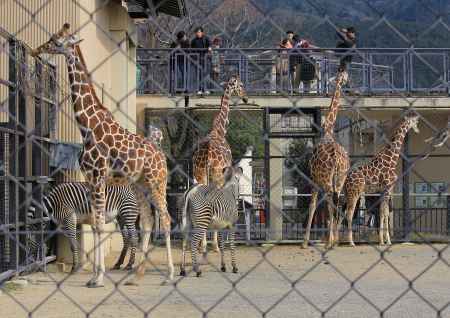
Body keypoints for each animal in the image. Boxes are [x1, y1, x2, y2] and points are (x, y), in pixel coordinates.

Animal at [32, 23, 174, 286]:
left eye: (57, 40)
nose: (38, 49)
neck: (88, 126)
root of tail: (162, 156)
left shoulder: (98, 176)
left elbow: (98, 224)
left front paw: (98, 277)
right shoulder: (90, 178)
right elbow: (96, 223)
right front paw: (96, 275)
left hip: (157, 181)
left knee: (166, 219)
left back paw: (169, 274)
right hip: (140, 184)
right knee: (148, 221)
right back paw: (136, 274)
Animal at [192, 76, 248, 252]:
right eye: (241, 85)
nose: (245, 98)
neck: (220, 129)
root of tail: (207, 155)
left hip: (199, 175)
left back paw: (201, 245)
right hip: (215, 176)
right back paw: (213, 246)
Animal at [304, 71, 350, 250]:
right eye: (344, 76)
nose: (349, 84)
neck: (328, 130)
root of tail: (337, 157)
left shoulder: (314, 179)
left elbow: (313, 206)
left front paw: (305, 242)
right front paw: (330, 239)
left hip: (327, 180)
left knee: (332, 202)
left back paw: (330, 241)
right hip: (340, 178)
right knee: (338, 201)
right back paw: (334, 241)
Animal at [344, 113, 418, 246]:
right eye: (415, 121)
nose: (417, 129)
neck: (392, 159)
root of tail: (347, 180)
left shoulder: (383, 190)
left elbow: (384, 212)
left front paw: (382, 240)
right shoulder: (388, 188)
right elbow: (384, 213)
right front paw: (386, 241)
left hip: (347, 193)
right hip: (355, 192)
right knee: (349, 213)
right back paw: (351, 242)